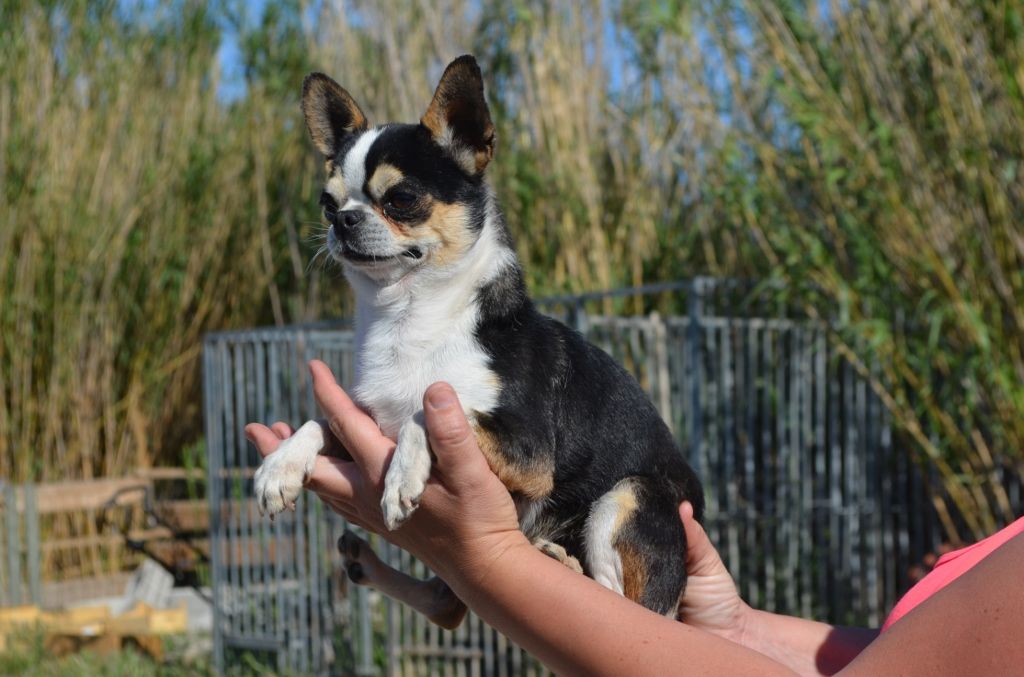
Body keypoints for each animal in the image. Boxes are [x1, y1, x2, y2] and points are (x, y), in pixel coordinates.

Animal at [254, 55, 704, 626]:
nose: (345, 220)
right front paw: (280, 465)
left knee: (620, 603)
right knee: (447, 605)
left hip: (630, 496)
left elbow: (428, 411)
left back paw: (561, 560)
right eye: (326, 203)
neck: (408, 320)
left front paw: (402, 473)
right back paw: (367, 564)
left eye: (402, 199)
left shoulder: (530, 451)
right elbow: (323, 419)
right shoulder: (368, 419)